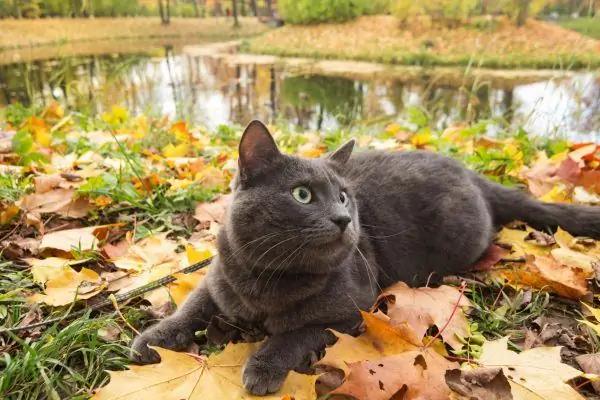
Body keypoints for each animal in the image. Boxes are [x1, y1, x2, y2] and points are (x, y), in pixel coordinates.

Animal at [131, 120, 600, 396]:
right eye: (302, 195)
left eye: (343, 196)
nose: (343, 218)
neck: (267, 280)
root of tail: (472, 174)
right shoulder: (217, 279)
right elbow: (192, 306)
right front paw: (152, 339)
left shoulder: (352, 311)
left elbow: (297, 333)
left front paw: (262, 366)